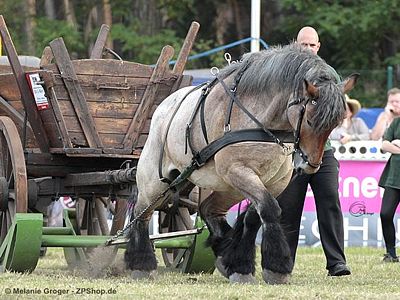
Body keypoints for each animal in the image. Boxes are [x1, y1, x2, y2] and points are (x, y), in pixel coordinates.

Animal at [123, 42, 358, 284]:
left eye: (335, 124)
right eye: (310, 121)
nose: (310, 165)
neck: (262, 121)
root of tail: (163, 107)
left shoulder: (276, 180)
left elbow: (256, 215)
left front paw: (240, 263)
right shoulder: (238, 171)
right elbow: (270, 208)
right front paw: (276, 267)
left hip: (226, 187)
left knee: (208, 209)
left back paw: (224, 250)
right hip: (156, 181)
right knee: (141, 214)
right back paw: (141, 263)